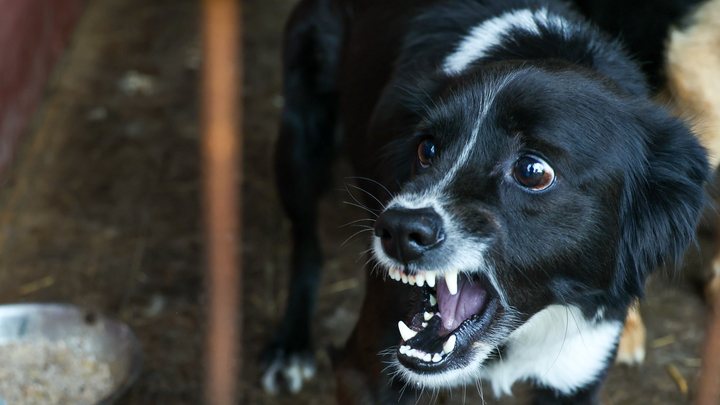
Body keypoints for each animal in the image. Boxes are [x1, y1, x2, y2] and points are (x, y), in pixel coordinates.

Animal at [262, 0, 708, 402]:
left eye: (533, 170)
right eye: (426, 149)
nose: (398, 231)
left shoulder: (578, 372)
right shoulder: (365, 372)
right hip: (300, 140)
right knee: (305, 243)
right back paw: (289, 348)